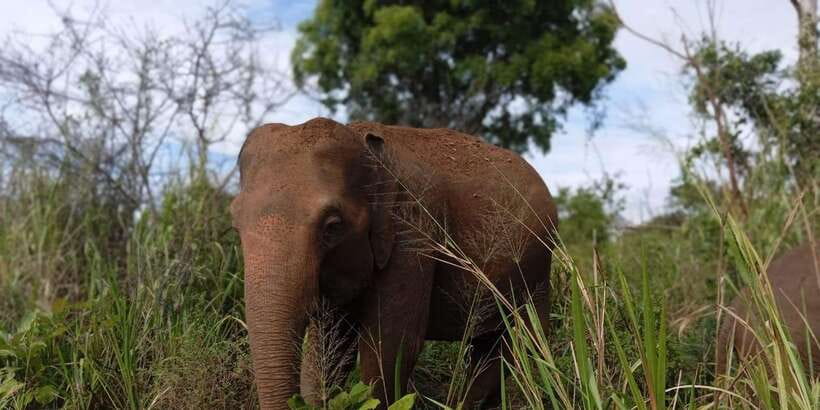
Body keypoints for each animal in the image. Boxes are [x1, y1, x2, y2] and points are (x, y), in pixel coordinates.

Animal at [230, 117, 558, 409]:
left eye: (333, 226)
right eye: (235, 223)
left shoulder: (413, 231)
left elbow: (391, 346)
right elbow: (329, 347)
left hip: (538, 270)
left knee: (521, 345)